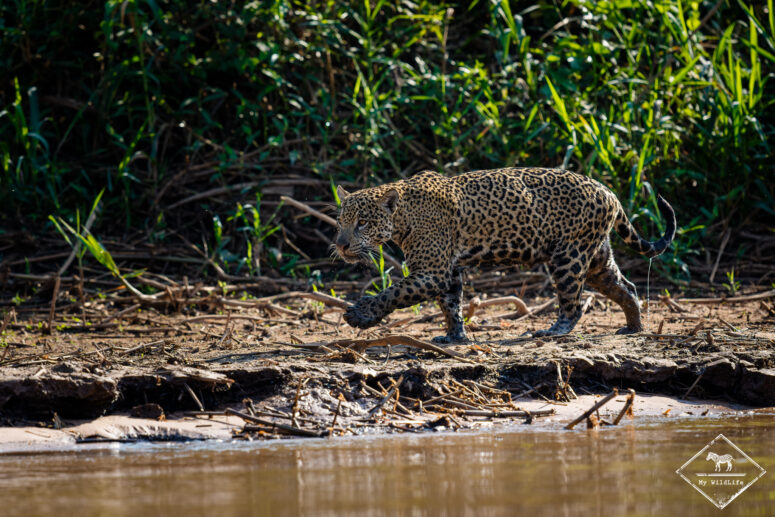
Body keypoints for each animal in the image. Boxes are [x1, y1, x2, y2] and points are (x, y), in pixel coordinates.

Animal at [333, 167, 676, 344]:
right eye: (341, 222)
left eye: (362, 222)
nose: (341, 245)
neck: (403, 216)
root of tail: (609, 192)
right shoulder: (448, 271)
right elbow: (451, 303)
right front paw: (455, 337)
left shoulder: (432, 272)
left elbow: (394, 292)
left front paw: (360, 315)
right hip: (595, 258)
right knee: (626, 287)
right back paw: (634, 326)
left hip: (568, 257)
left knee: (573, 302)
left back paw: (553, 330)